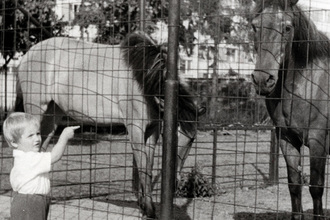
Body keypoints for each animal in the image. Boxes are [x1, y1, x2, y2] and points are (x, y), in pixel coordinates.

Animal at [14, 32, 201, 218]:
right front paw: (149, 209)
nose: (176, 184)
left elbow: (148, 167)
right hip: (36, 111)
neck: (141, 77)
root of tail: (27, 55)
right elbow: (142, 166)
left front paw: (144, 205)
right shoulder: (135, 129)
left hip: (52, 115)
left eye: (192, 140)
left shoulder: (153, 130)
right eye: (175, 138)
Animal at [251, 0, 328, 220]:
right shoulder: (287, 139)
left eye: (287, 28)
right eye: (254, 26)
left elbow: (316, 188)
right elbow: (294, 186)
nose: (262, 80)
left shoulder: (318, 141)